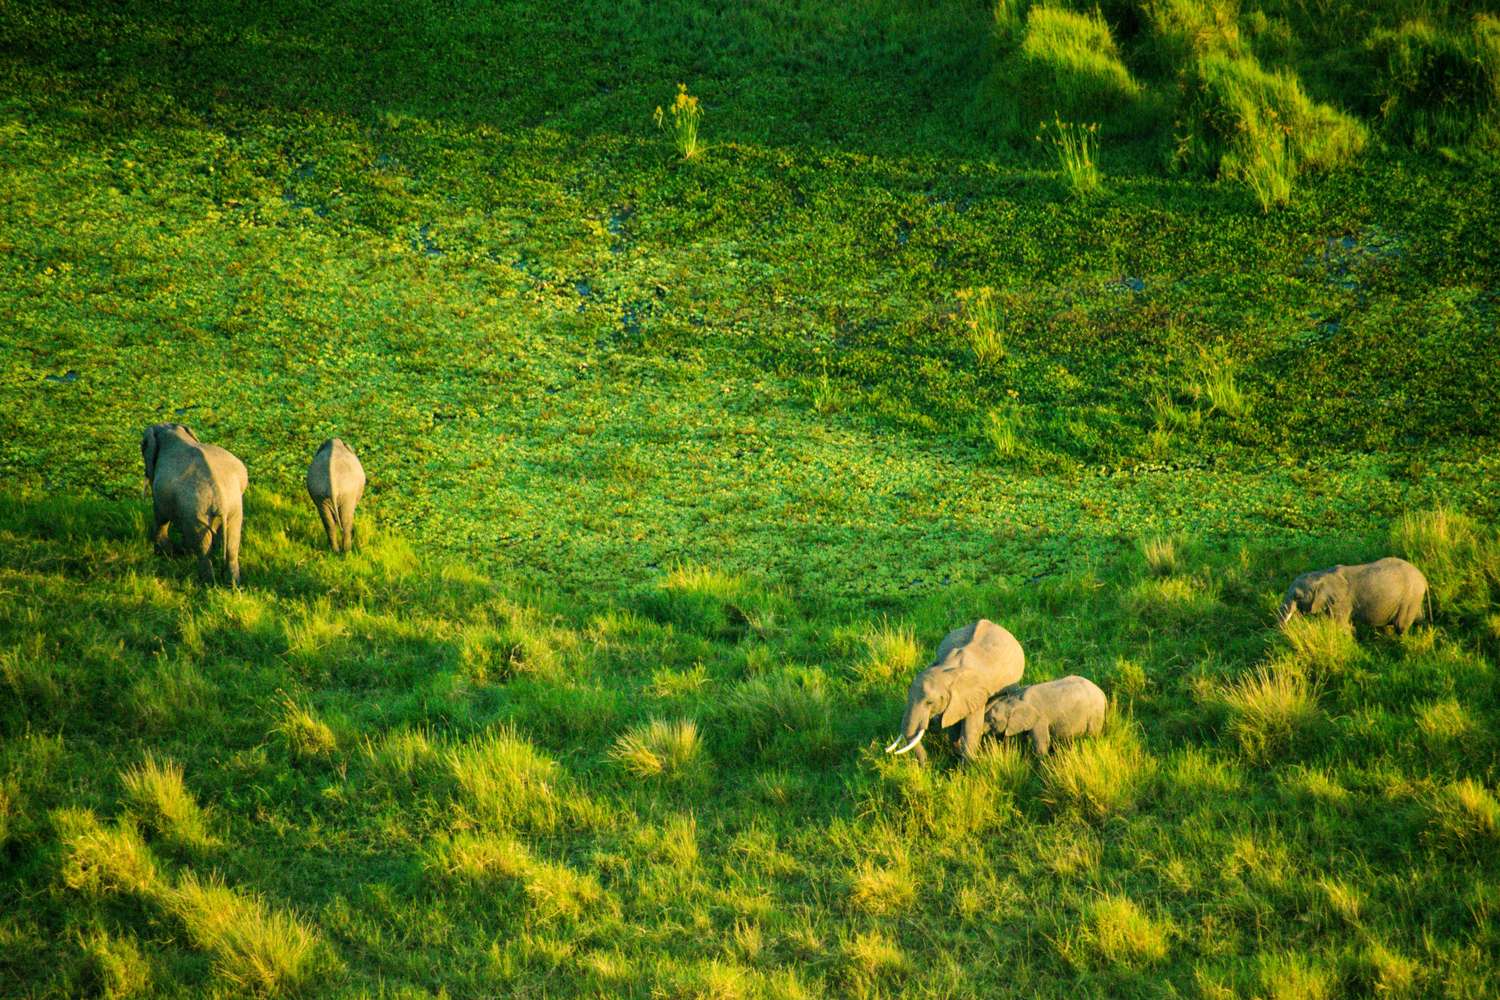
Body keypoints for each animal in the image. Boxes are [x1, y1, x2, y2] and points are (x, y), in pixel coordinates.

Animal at [141, 423, 248, 586]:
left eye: (142, 446)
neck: (172, 432)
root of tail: (219, 501)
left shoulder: (161, 493)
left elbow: (160, 514)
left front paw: (164, 554)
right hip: (234, 507)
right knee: (232, 543)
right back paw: (233, 585)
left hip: (197, 512)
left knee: (202, 548)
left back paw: (207, 585)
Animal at [885, 619, 1025, 763]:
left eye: (929, 703)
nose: (926, 764)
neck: (947, 671)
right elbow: (952, 725)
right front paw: (956, 755)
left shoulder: (974, 694)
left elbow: (971, 729)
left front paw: (967, 766)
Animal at [1278, 557, 1429, 634]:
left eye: (1298, 596)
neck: (1322, 574)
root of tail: (1424, 578)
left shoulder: (1341, 602)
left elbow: (1341, 626)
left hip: (1410, 597)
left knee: (1400, 625)